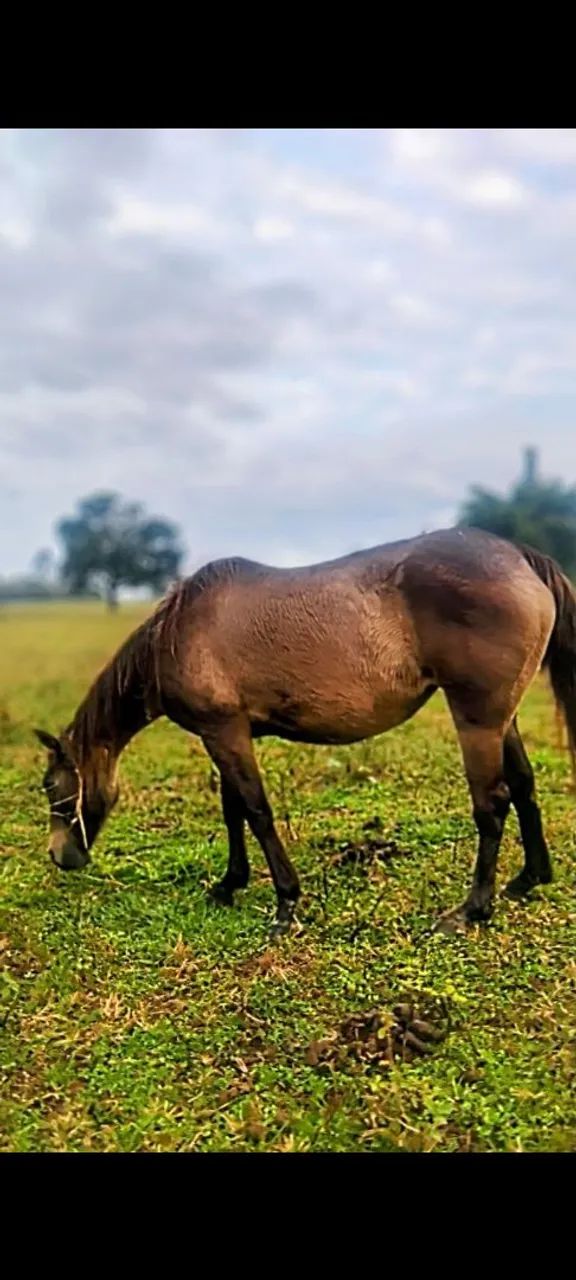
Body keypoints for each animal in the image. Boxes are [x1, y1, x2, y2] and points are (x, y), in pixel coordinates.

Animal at [35, 526, 576, 936]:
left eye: (51, 788)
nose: (60, 857)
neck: (176, 634)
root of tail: (518, 557)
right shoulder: (227, 734)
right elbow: (233, 810)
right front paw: (229, 884)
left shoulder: (223, 732)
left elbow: (255, 811)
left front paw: (286, 904)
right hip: (500, 717)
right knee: (523, 786)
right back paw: (529, 878)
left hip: (476, 718)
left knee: (492, 804)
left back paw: (472, 909)